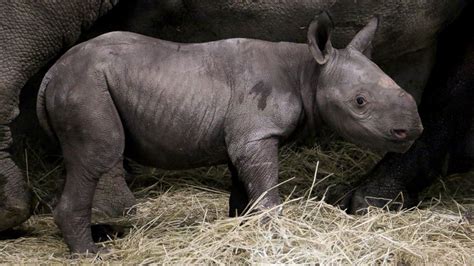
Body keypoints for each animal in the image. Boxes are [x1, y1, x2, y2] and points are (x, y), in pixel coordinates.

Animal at [0, 0, 466, 231]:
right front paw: (273, 228)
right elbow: (266, 186)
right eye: (360, 103)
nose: (411, 128)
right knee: (99, 151)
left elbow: (244, 186)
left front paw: (241, 226)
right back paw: (94, 248)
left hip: (85, 82)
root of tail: (51, 76)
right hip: (84, 84)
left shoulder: (244, 135)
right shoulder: (258, 133)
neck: (308, 70)